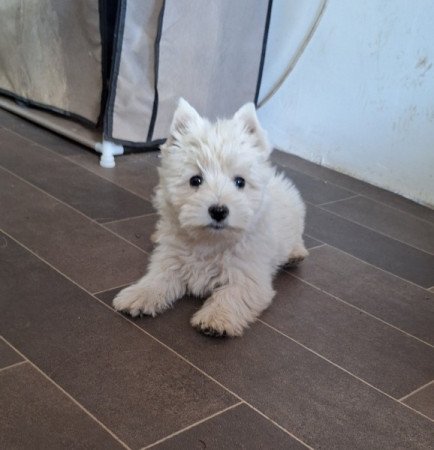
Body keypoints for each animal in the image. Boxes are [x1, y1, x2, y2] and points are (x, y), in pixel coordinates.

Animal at [113, 99, 306, 338]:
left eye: (240, 181)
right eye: (195, 180)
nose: (219, 211)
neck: (210, 241)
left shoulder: (248, 275)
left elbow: (232, 294)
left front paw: (216, 318)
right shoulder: (171, 259)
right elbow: (157, 278)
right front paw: (139, 295)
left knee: (298, 238)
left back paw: (296, 254)